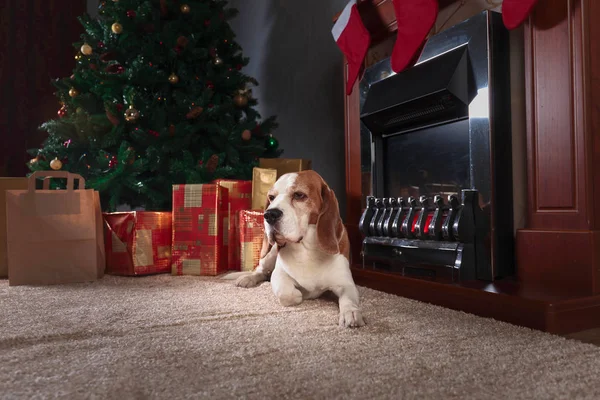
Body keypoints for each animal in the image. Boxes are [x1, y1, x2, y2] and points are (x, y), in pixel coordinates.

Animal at [224, 169, 366, 328]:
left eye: (299, 195)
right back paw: (248, 278)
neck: (307, 249)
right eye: (271, 197)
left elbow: (348, 299)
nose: (269, 214)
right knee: (260, 271)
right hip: (270, 254)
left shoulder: (346, 283)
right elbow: (286, 292)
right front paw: (298, 295)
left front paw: (351, 313)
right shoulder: (279, 275)